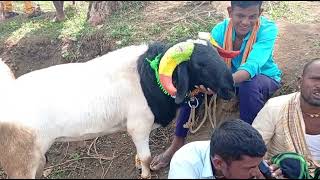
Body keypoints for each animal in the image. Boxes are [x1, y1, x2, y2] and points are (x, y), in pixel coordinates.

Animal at [0, 38, 234, 178]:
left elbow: (140, 156)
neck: (147, 77)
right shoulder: (139, 126)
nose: (230, 88)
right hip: (20, 162)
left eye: (217, 55)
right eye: (200, 64)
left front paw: (139, 165)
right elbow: (147, 157)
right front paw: (146, 174)